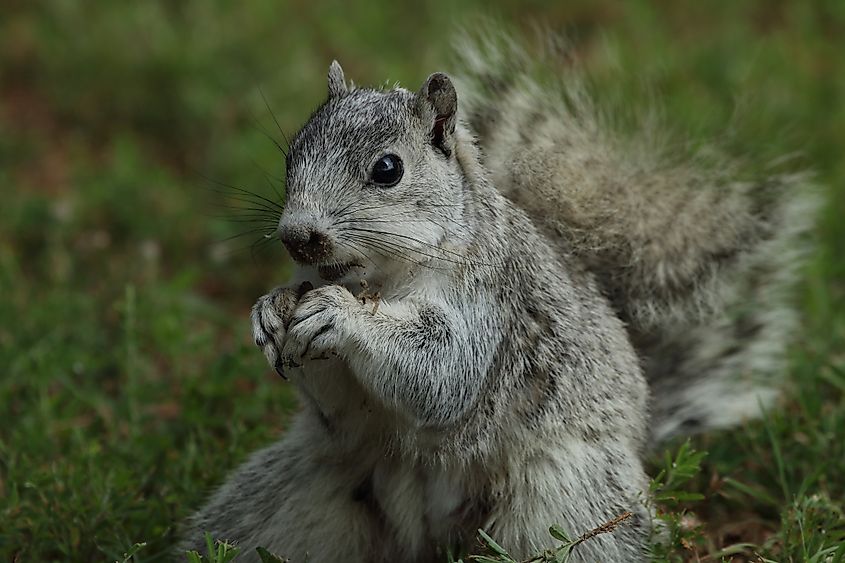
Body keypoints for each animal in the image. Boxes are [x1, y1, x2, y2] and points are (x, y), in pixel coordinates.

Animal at [179, 34, 817, 562]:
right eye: (291, 154)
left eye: (388, 169)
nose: (297, 235)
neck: (381, 280)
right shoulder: (347, 415)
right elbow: (341, 410)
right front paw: (272, 309)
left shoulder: (488, 304)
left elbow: (441, 375)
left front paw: (341, 316)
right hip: (289, 503)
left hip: (568, 504)